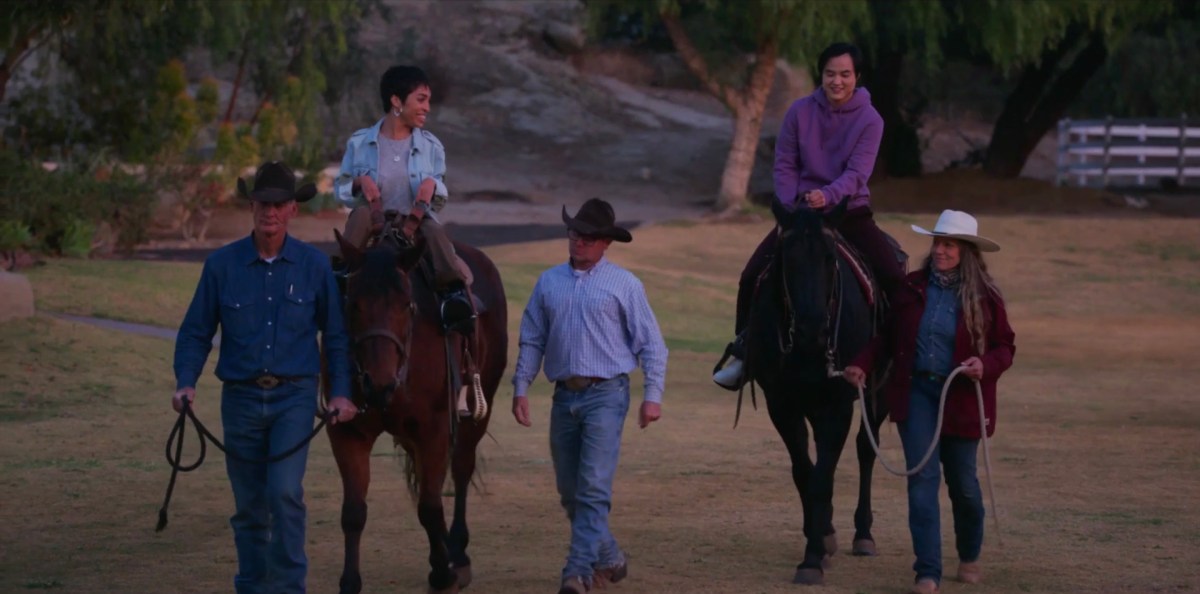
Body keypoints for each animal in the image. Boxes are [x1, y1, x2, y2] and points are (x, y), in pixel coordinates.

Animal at [324, 230, 506, 592]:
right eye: (352, 304)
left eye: (406, 305)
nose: (378, 383)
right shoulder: (346, 430)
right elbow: (354, 511)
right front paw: (350, 581)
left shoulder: (433, 429)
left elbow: (430, 506)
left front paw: (442, 573)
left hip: (480, 406)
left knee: (461, 469)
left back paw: (457, 553)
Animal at [744, 200, 897, 585]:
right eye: (788, 259)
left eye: (830, 258)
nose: (813, 330)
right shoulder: (781, 404)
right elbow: (805, 472)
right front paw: (820, 539)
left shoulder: (838, 405)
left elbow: (823, 477)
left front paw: (812, 559)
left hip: (878, 392)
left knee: (865, 448)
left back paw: (863, 535)